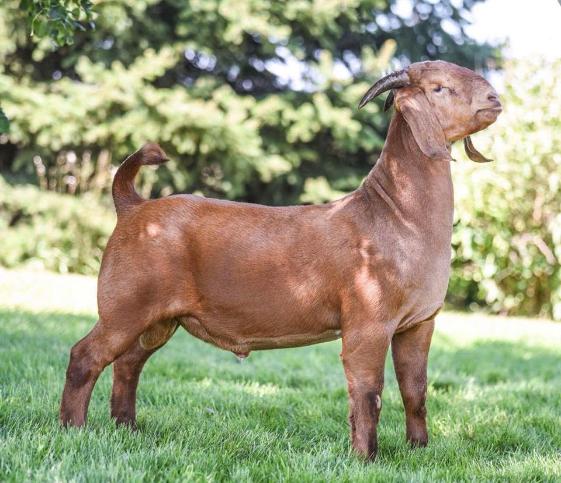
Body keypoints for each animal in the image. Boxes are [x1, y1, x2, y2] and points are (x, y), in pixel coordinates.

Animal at [60, 60, 501, 460]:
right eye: (440, 88)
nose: (494, 98)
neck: (395, 212)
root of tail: (132, 206)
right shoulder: (369, 324)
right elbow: (368, 391)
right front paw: (366, 458)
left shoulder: (418, 324)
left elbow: (415, 390)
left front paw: (419, 450)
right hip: (126, 307)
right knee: (86, 356)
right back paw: (73, 429)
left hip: (159, 319)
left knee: (128, 363)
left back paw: (127, 428)